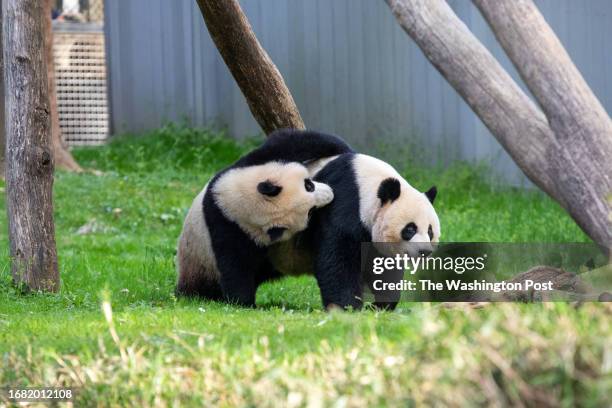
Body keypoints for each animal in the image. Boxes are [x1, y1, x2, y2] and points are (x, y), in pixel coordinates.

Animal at [175, 128, 352, 306]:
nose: (330, 194)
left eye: (308, 185)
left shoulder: (242, 167)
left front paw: (343, 148)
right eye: (310, 212)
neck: (234, 200)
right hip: (199, 264)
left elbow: (289, 142)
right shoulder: (226, 228)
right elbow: (235, 265)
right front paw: (244, 302)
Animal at [268, 151, 440, 310]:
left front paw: (379, 305)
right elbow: (339, 258)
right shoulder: (343, 203)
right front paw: (347, 306)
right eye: (410, 229)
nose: (424, 251)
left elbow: (383, 267)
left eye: (430, 232)